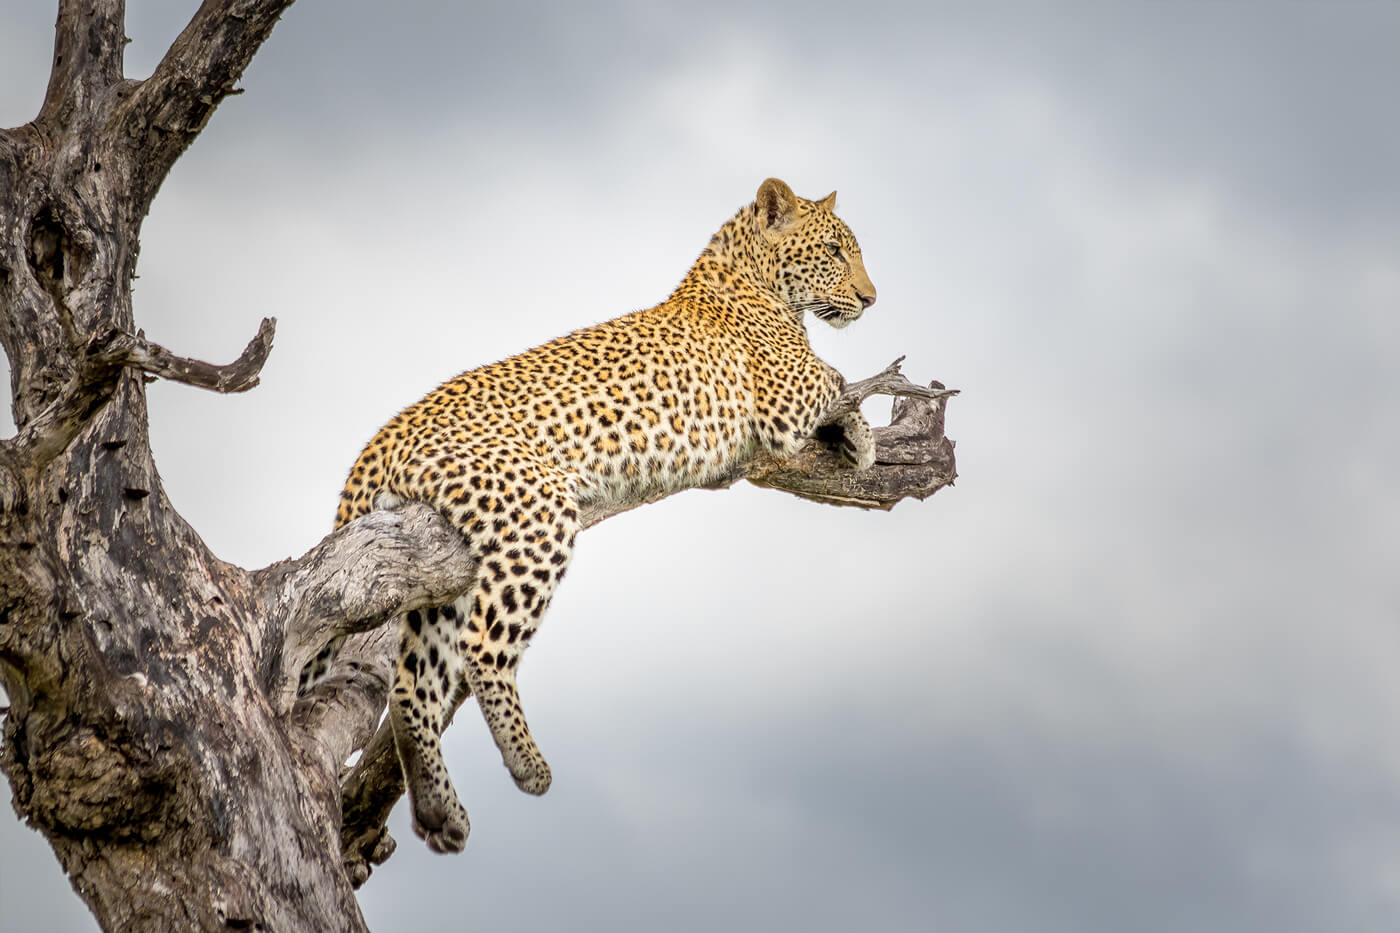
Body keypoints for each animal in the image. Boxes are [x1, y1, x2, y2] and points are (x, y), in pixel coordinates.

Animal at [302, 174, 879, 851]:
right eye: (836, 252)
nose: (871, 298)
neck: (751, 276)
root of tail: (384, 434)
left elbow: (840, 378)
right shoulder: (786, 396)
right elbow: (839, 377)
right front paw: (864, 436)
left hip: (445, 568)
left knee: (412, 685)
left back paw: (441, 813)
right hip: (536, 513)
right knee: (482, 648)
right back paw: (529, 766)